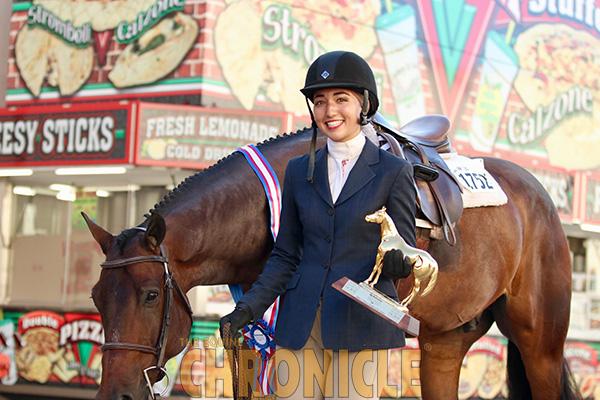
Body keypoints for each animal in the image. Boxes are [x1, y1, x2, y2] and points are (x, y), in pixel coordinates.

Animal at [86, 126, 580, 400]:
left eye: (152, 295)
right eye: (95, 298)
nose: (116, 395)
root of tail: (541, 199)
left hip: (541, 343)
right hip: (443, 343)